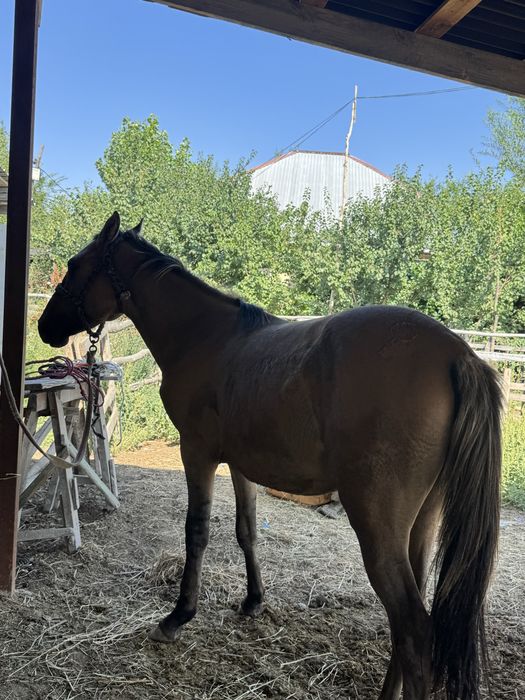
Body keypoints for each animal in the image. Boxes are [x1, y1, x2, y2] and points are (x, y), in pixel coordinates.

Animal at [38, 212, 502, 700]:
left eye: (74, 265)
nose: (45, 327)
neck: (206, 337)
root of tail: (459, 354)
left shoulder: (197, 453)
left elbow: (197, 532)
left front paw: (178, 616)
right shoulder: (242, 466)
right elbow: (247, 532)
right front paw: (253, 601)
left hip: (377, 525)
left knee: (413, 628)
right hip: (423, 522)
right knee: (406, 628)